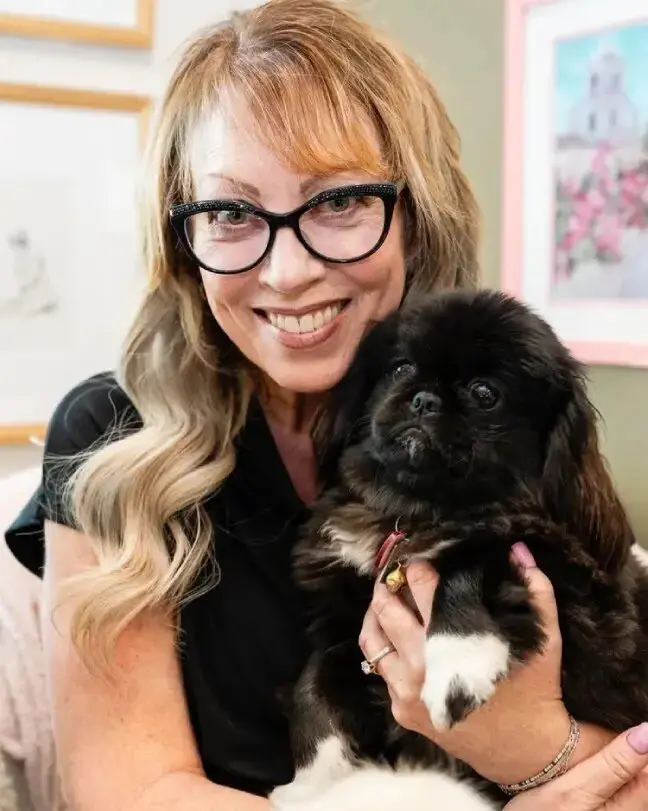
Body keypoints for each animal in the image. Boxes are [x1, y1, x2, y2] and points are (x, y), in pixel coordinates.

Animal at [270, 288, 648, 811]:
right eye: (400, 368)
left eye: (485, 394)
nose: (424, 398)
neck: (413, 512)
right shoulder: (344, 626)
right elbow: (314, 691)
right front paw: (313, 784)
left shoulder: (566, 579)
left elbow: (470, 557)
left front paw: (458, 667)